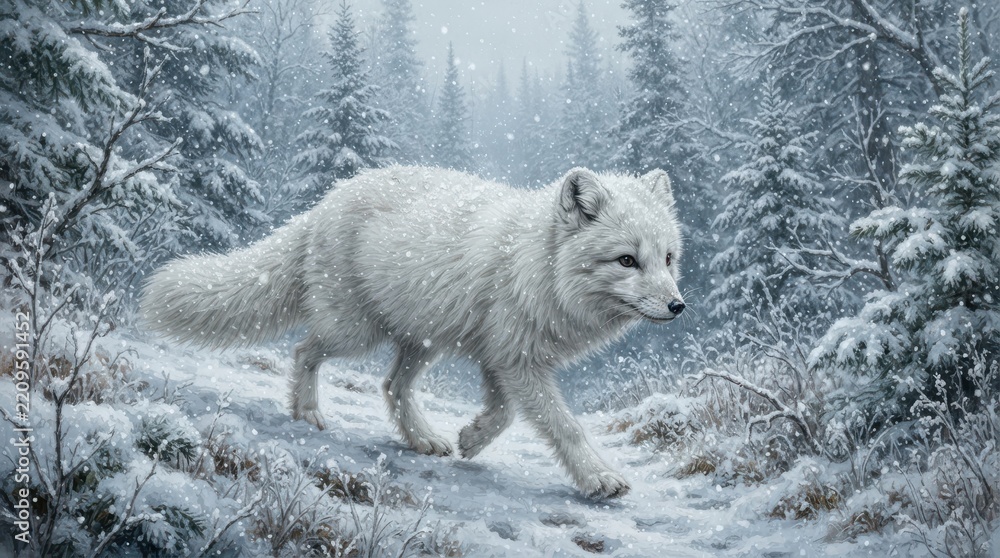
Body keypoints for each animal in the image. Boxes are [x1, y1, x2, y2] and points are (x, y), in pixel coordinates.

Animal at [140, 165, 685, 498]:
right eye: (627, 260)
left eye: (668, 258)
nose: (679, 306)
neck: (537, 265)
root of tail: (324, 203)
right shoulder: (516, 359)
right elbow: (564, 425)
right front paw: (600, 478)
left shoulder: (501, 358)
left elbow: (504, 414)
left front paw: (471, 440)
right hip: (354, 332)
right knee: (303, 350)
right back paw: (308, 412)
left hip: (424, 341)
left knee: (390, 385)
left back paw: (424, 440)